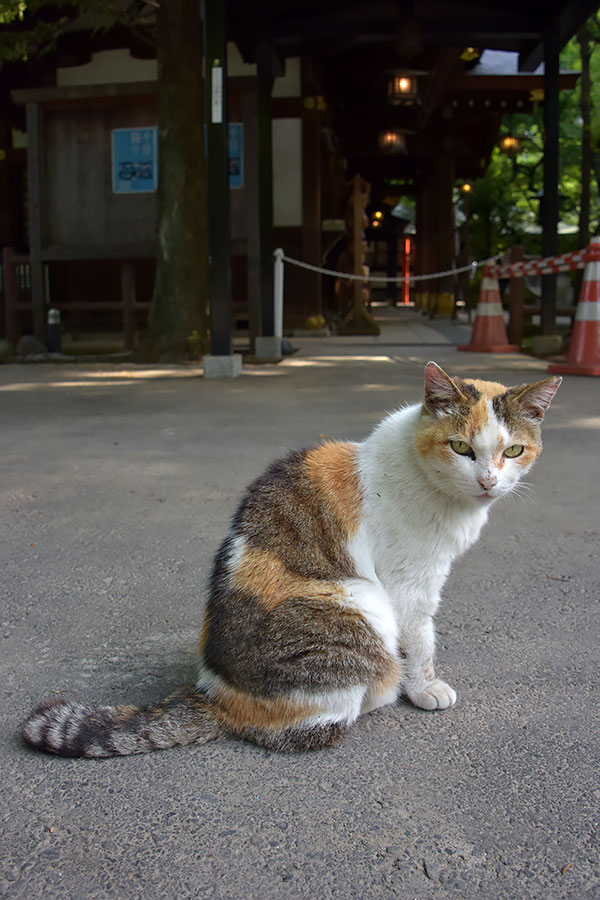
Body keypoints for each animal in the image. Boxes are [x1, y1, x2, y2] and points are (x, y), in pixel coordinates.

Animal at [21, 362, 560, 756]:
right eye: (461, 447)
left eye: (513, 450)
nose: (489, 480)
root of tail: (214, 693)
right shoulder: (409, 586)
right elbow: (421, 642)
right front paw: (423, 687)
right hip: (363, 603)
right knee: (306, 728)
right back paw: (382, 691)